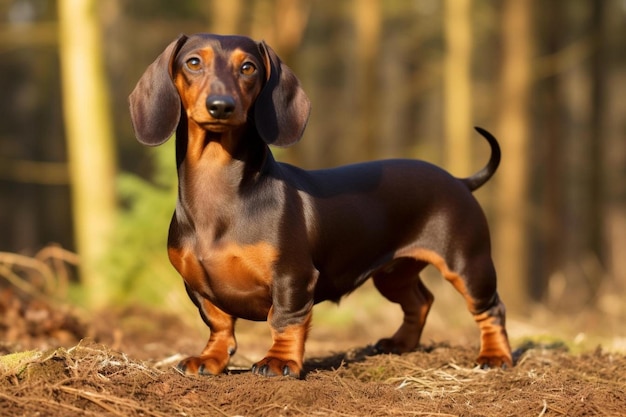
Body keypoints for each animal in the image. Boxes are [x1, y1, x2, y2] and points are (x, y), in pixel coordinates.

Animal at [129, 32, 510, 376]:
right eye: (193, 62)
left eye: (248, 67)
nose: (221, 106)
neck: (220, 189)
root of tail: (458, 180)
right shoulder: (198, 286)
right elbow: (219, 324)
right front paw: (210, 359)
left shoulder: (292, 277)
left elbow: (285, 320)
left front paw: (279, 362)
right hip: (393, 274)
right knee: (420, 301)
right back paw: (400, 344)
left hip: (467, 264)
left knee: (491, 308)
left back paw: (494, 357)